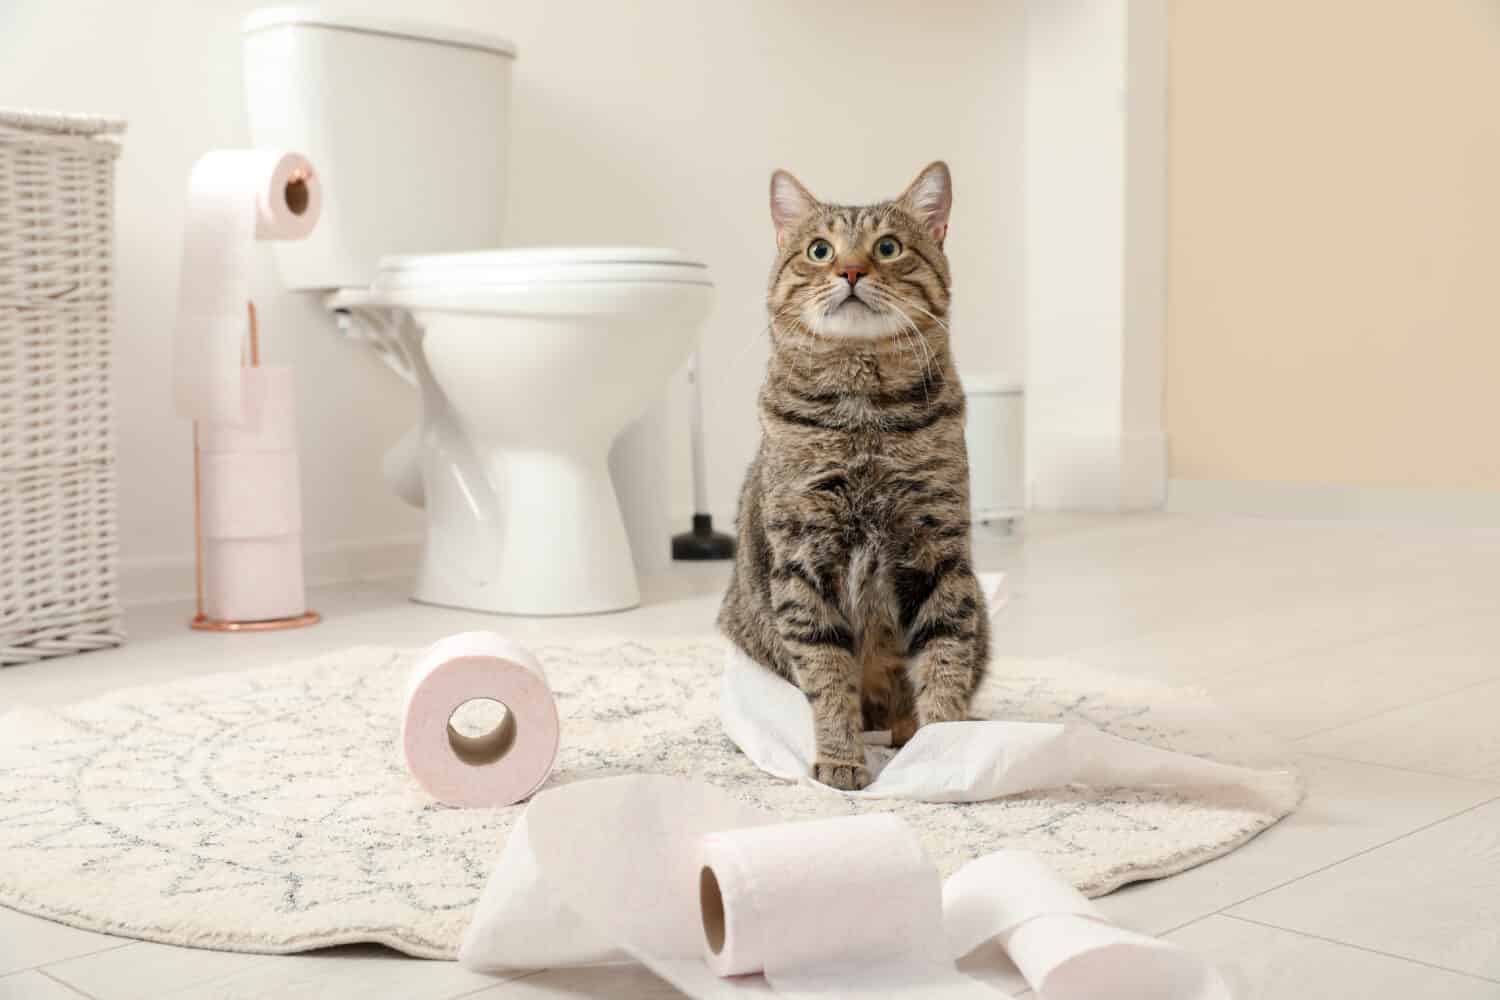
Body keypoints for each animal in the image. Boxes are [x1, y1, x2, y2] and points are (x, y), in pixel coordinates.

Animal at [720, 162, 990, 791]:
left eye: (888, 247)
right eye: (819, 250)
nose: (849, 270)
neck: (864, 414)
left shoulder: (939, 551)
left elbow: (944, 658)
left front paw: (945, 752)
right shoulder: (803, 559)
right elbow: (827, 674)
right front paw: (841, 759)